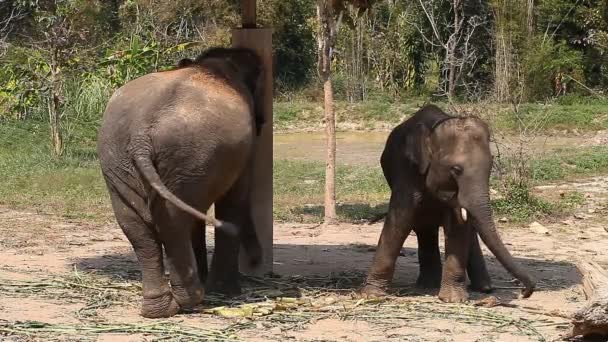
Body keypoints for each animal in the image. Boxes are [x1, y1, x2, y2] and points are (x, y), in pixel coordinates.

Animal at [97, 46, 264, 318]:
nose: (255, 260)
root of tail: (141, 135)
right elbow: (235, 199)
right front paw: (227, 291)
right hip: (186, 155)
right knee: (173, 222)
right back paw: (192, 298)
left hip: (120, 157)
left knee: (135, 224)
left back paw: (160, 309)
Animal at [364, 104, 536, 302]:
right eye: (456, 169)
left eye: (491, 165)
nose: (524, 292)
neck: (433, 130)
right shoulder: (406, 170)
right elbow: (400, 221)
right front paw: (372, 295)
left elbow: (457, 226)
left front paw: (454, 299)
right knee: (425, 229)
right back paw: (428, 285)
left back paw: (483, 287)